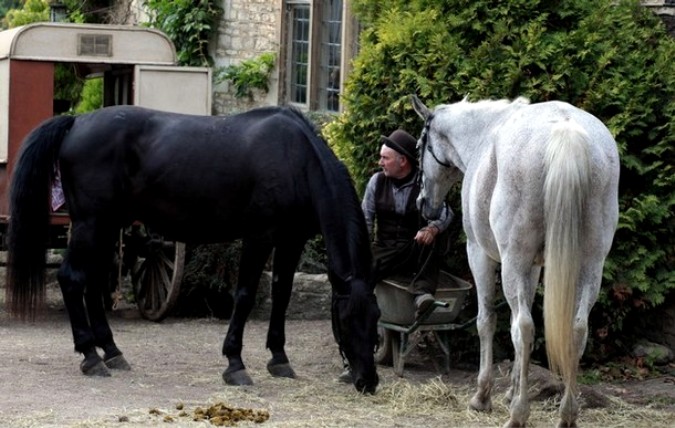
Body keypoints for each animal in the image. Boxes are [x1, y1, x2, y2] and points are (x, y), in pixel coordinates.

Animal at [6, 105, 380, 392]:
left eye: (376, 316)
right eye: (345, 320)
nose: (368, 381)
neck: (295, 158)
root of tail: (76, 121)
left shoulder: (291, 239)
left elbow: (282, 295)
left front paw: (279, 359)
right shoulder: (259, 237)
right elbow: (245, 296)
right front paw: (235, 363)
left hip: (107, 225)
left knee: (94, 282)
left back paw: (111, 351)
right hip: (90, 223)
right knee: (72, 279)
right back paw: (90, 356)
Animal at [410, 95, 620, 426]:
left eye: (420, 145)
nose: (423, 205)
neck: (483, 135)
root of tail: (567, 132)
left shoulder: (480, 254)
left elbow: (488, 321)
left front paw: (483, 396)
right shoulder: (532, 267)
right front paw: (510, 391)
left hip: (513, 262)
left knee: (524, 327)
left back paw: (518, 414)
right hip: (589, 265)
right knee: (576, 330)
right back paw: (566, 415)